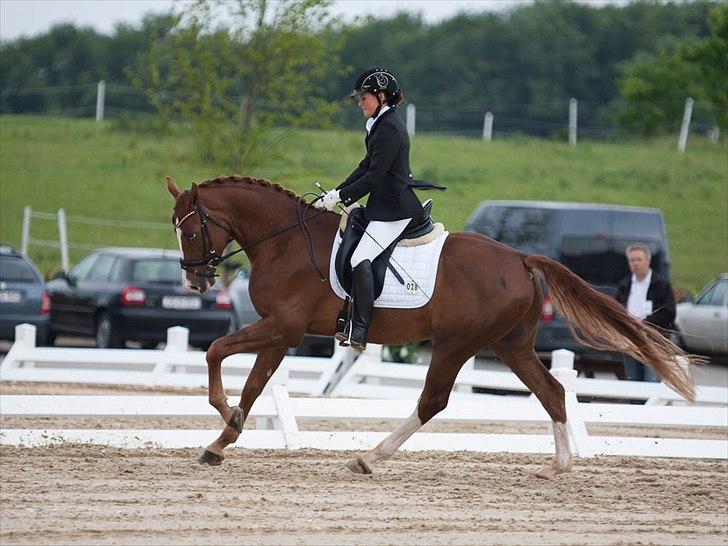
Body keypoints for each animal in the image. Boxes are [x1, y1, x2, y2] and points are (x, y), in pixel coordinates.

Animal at [166, 172, 700, 474]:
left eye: (190, 230)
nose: (195, 280)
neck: (285, 242)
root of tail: (521, 258)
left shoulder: (284, 328)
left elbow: (220, 355)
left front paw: (225, 423)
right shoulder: (280, 331)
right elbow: (250, 379)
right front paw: (221, 439)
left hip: (455, 344)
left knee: (434, 401)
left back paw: (369, 458)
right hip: (510, 346)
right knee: (551, 391)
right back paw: (560, 466)